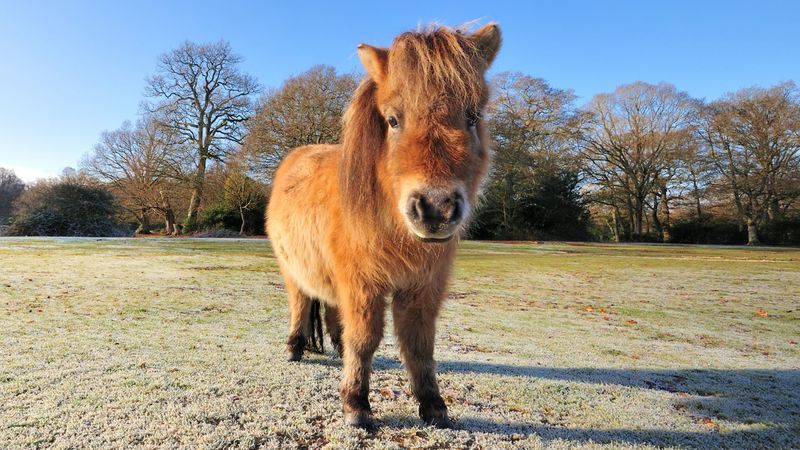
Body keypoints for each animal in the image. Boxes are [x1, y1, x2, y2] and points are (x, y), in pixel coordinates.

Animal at [268, 22, 500, 428]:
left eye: (472, 117)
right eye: (393, 120)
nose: (435, 209)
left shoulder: (423, 287)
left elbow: (419, 344)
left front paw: (433, 405)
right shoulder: (363, 284)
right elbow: (365, 339)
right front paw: (356, 405)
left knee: (333, 313)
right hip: (293, 270)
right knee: (300, 303)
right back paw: (295, 348)